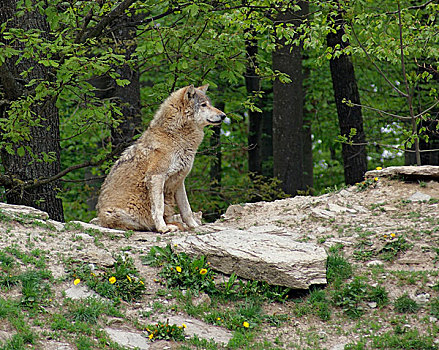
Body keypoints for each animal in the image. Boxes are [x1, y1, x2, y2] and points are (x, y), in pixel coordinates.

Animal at [97, 85, 225, 232]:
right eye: (204, 105)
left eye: (210, 104)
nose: (224, 115)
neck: (176, 137)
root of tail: (101, 219)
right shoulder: (156, 176)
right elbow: (158, 208)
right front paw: (163, 228)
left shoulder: (179, 181)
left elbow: (186, 209)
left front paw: (195, 226)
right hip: (118, 214)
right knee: (141, 224)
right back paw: (163, 226)